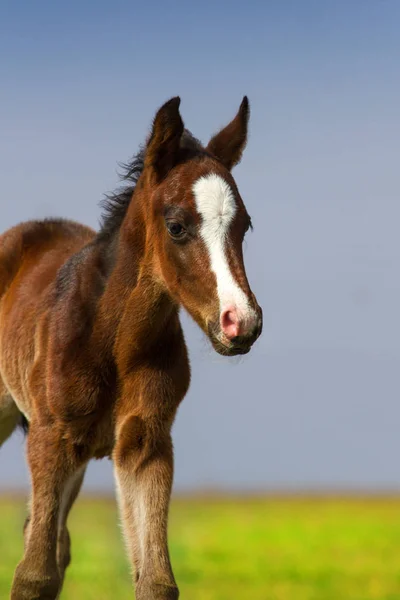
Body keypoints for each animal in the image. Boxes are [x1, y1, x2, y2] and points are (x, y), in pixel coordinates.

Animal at [0, 96, 262, 596]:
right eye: (177, 226)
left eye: (245, 225)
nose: (242, 322)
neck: (113, 341)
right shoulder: (50, 435)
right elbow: (34, 574)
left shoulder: (146, 442)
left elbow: (155, 579)